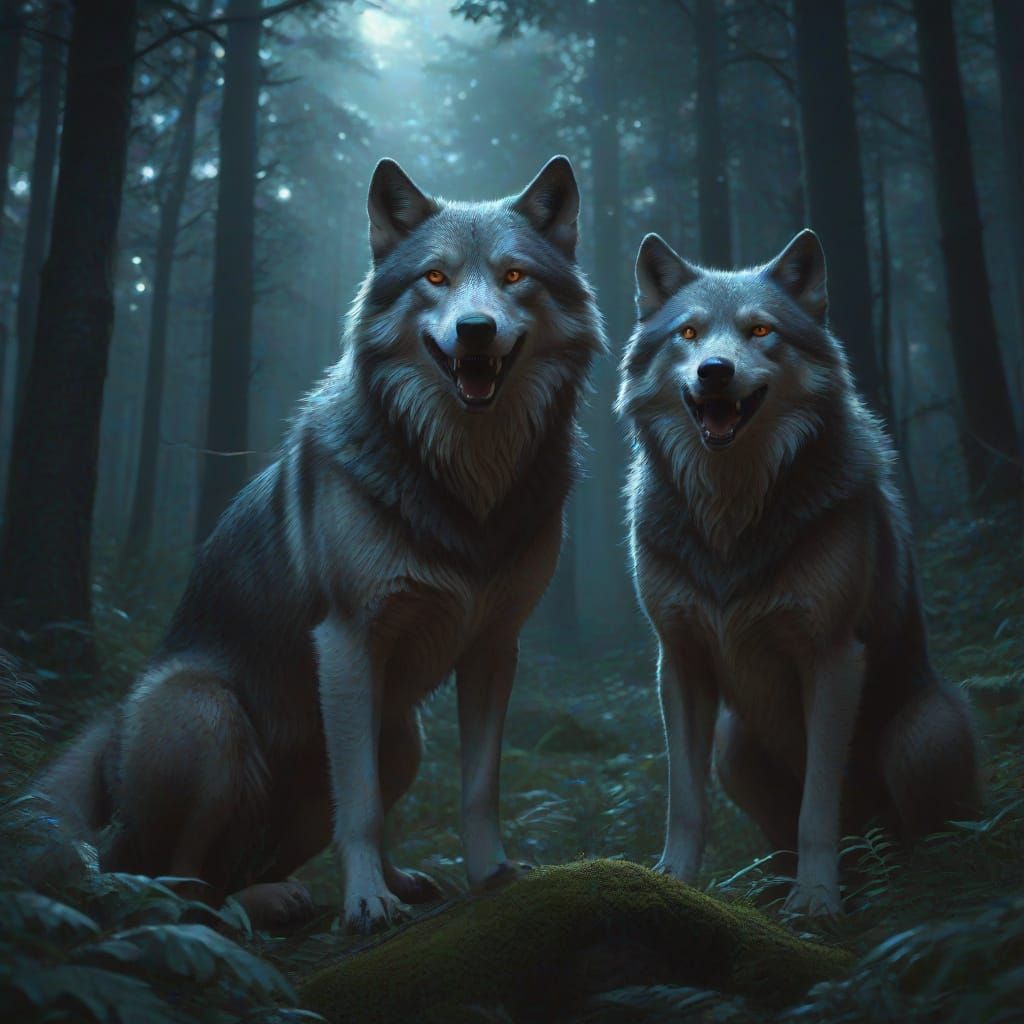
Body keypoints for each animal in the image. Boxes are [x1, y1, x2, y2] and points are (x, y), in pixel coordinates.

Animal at [34, 156, 605, 932]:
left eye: (514, 276)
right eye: (435, 278)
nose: (475, 330)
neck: (464, 481)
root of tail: (110, 728)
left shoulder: (494, 648)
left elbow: (476, 787)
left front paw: (492, 876)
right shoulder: (347, 641)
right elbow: (357, 806)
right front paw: (365, 901)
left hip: (402, 736)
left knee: (257, 856)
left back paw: (369, 884)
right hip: (208, 711)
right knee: (174, 882)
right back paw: (251, 906)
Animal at [617, 229, 980, 915]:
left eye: (760, 331)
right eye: (688, 334)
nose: (714, 370)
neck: (731, 512)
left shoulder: (832, 657)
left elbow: (818, 804)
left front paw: (815, 902)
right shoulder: (679, 662)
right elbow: (686, 804)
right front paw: (672, 882)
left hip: (923, 732)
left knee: (927, 836)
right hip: (733, 746)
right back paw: (777, 886)